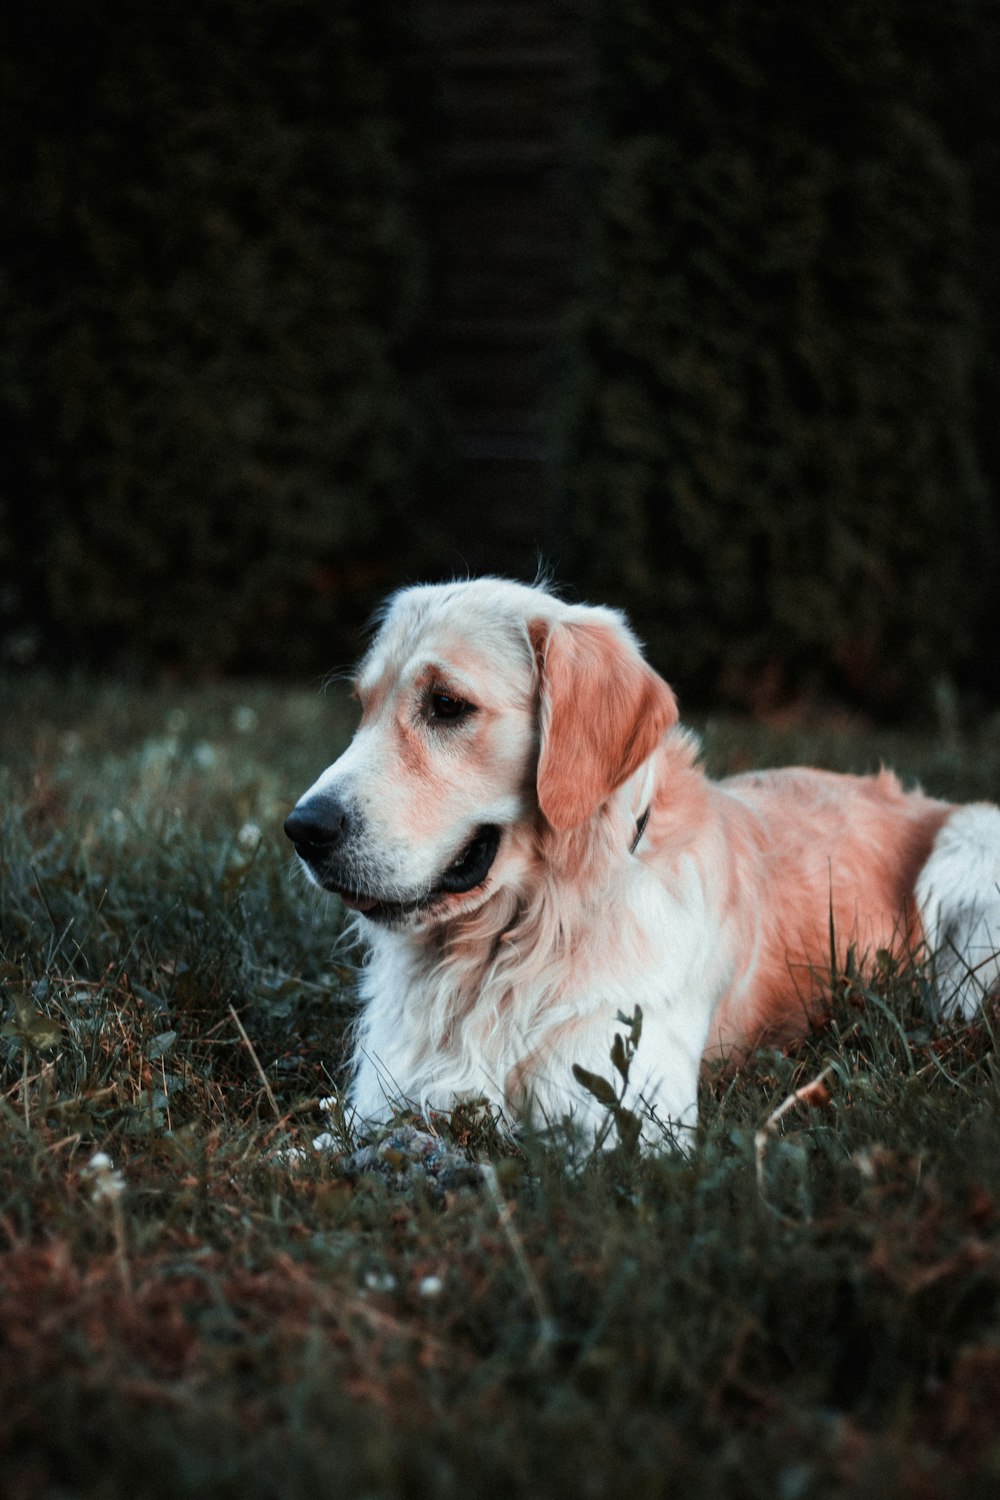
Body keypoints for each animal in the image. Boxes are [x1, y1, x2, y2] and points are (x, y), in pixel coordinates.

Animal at [281, 579, 1000, 1140]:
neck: (522, 936)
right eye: (362, 709)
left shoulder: (622, 1116)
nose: (301, 829)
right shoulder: (383, 1096)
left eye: (447, 705)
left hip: (970, 843)